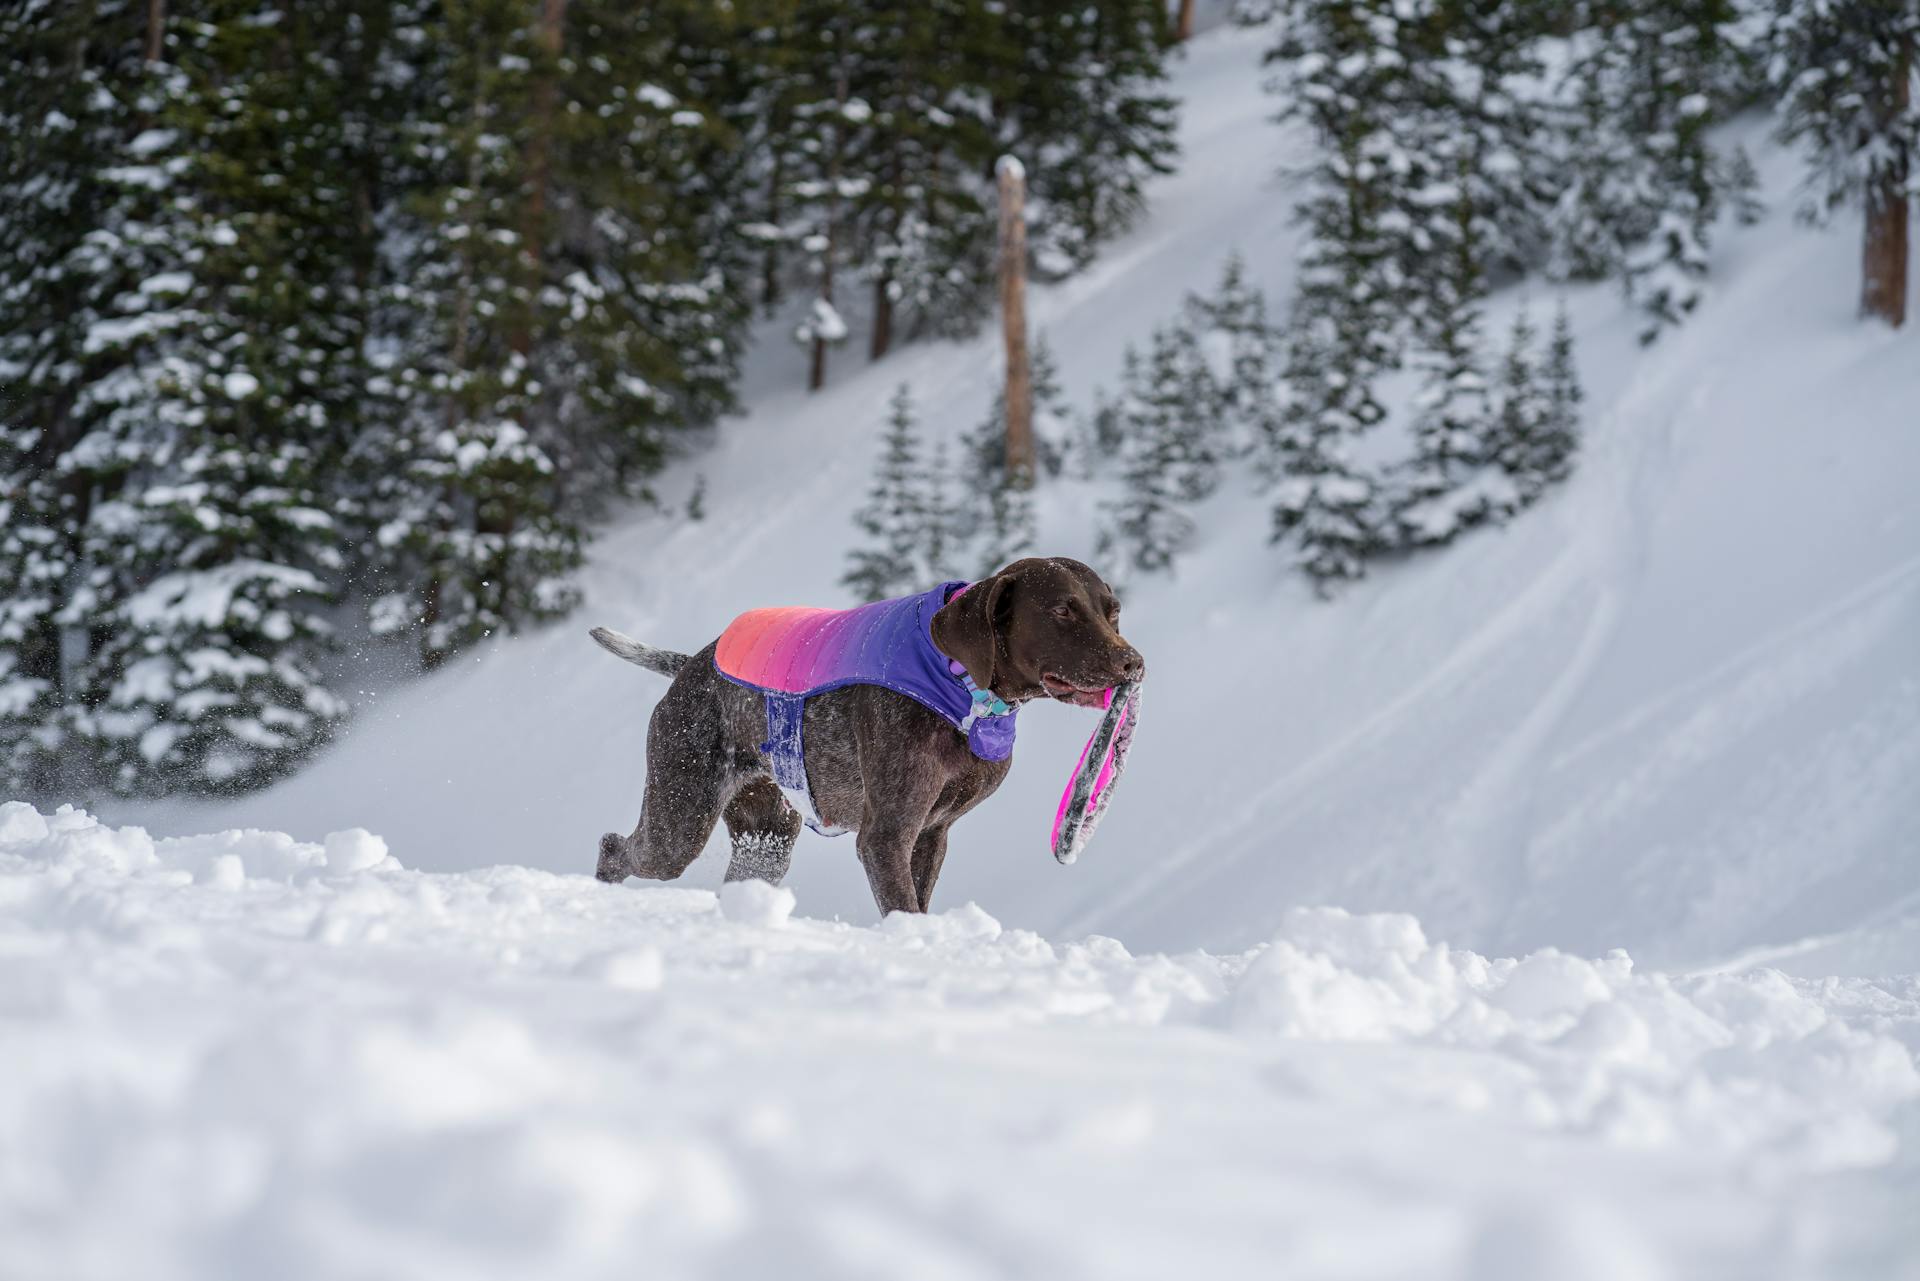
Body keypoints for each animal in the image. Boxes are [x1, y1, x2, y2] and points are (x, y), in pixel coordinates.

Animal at [591, 556, 1144, 910]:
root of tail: (690, 667)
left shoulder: (931, 834)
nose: (1133, 663)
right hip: (680, 821)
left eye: (1112, 611)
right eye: (1062, 610)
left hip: (765, 841)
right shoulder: (886, 836)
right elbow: (904, 908)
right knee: (617, 848)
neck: (959, 687)